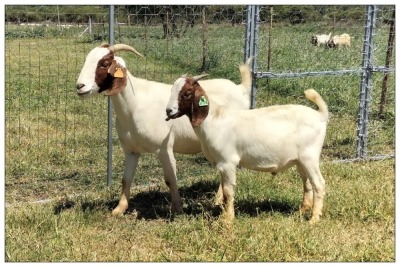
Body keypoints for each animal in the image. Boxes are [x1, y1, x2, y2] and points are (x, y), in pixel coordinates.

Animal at [76, 43, 252, 217]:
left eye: (104, 63)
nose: (79, 86)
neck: (135, 104)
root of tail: (241, 89)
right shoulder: (131, 150)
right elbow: (126, 179)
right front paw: (119, 209)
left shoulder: (164, 148)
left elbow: (170, 180)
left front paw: (177, 209)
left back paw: (217, 200)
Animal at [165, 76, 328, 224]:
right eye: (172, 90)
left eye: (187, 93)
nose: (168, 111)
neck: (214, 119)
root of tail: (320, 116)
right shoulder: (221, 163)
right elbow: (224, 190)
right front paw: (223, 215)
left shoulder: (228, 161)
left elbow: (228, 191)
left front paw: (228, 220)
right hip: (300, 160)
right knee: (307, 184)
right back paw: (301, 212)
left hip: (309, 157)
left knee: (319, 184)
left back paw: (313, 219)